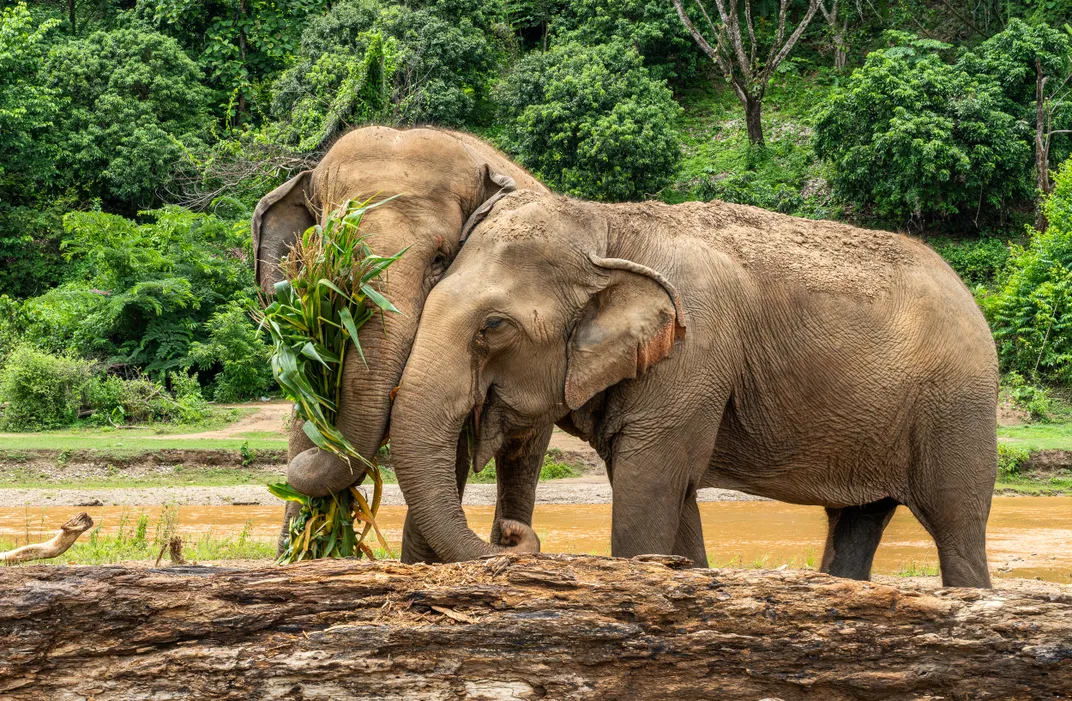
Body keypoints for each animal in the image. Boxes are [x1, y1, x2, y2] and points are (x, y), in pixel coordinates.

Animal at [251, 127, 548, 565]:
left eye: (441, 259)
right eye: (335, 257)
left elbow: (444, 443)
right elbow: (308, 405)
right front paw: (300, 554)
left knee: (520, 455)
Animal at [390, 190, 999, 587]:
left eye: (494, 327)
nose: (512, 533)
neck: (609, 225)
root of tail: (965, 291)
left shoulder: (694, 351)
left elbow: (648, 486)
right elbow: (673, 494)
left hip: (956, 406)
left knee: (957, 528)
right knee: (856, 521)